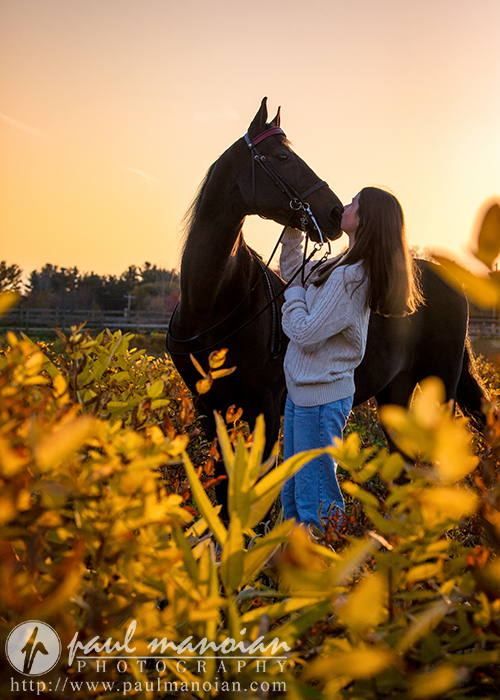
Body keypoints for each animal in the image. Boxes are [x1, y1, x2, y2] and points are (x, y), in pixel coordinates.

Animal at [167, 97, 487, 495]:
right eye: (283, 158)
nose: (335, 211)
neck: (211, 303)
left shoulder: (265, 409)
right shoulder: (209, 410)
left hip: (442, 389)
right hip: (395, 393)